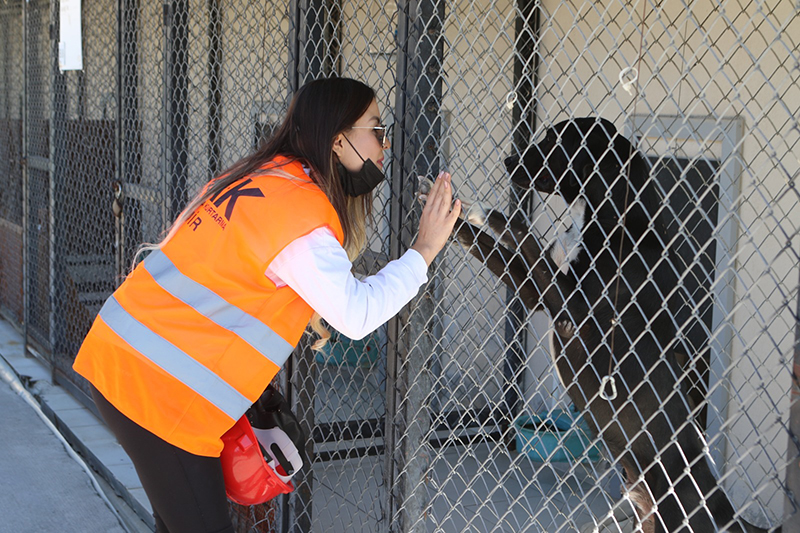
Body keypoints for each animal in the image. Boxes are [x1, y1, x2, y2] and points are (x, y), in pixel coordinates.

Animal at [424, 117, 780, 532]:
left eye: (555, 139)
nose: (509, 160)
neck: (608, 219)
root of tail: (729, 515)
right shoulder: (535, 293)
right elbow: (502, 243)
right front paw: (460, 213)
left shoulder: (568, 308)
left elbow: (525, 238)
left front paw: (466, 212)